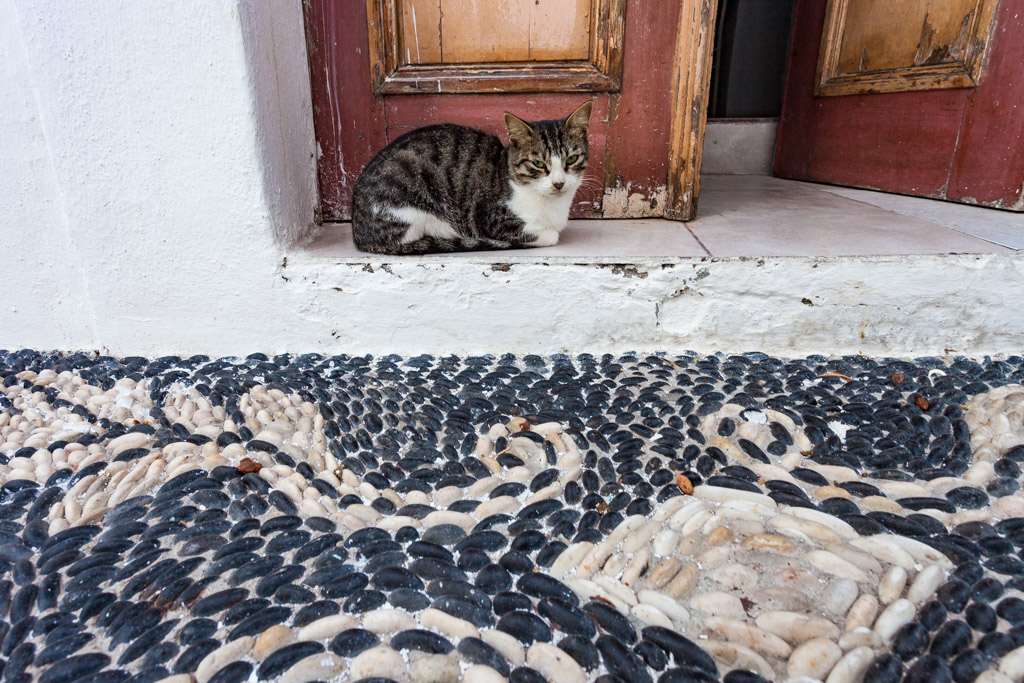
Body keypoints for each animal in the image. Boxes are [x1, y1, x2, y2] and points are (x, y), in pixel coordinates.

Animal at [352, 104, 593, 255]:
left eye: (571, 159)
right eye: (539, 164)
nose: (559, 183)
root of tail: (359, 233)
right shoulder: (492, 220)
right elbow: (549, 235)